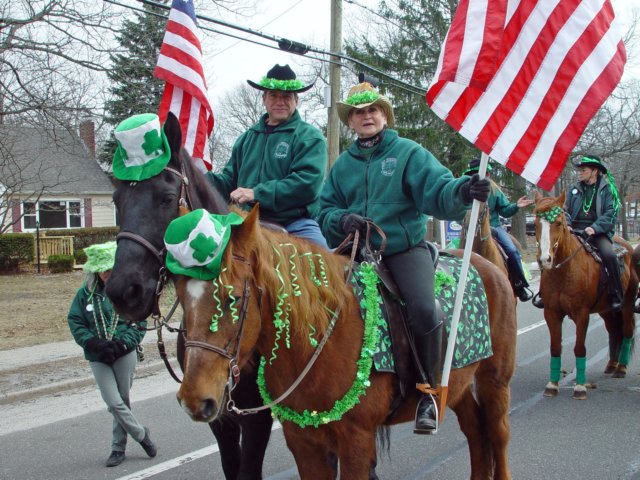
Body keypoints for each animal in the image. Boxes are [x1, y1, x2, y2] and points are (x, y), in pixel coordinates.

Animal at [175, 206, 520, 480]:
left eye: (231, 298)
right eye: (181, 299)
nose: (194, 400)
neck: (320, 343)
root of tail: (486, 264)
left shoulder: (356, 441)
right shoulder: (303, 441)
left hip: (495, 380)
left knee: (498, 434)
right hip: (457, 386)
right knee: (475, 430)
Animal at [532, 189, 636, 400]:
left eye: (558, 222)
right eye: (536, 223)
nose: (545, 260)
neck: (564, 272)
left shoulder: (582, 314)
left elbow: (580, 348)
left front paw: (580, 387)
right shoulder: (551, 313)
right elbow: (555, 348)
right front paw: (552, 385)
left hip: (627, 304)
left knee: (627, 331)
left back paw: (621, 368)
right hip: (606, 310)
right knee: (613, 331)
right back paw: (611, 365)